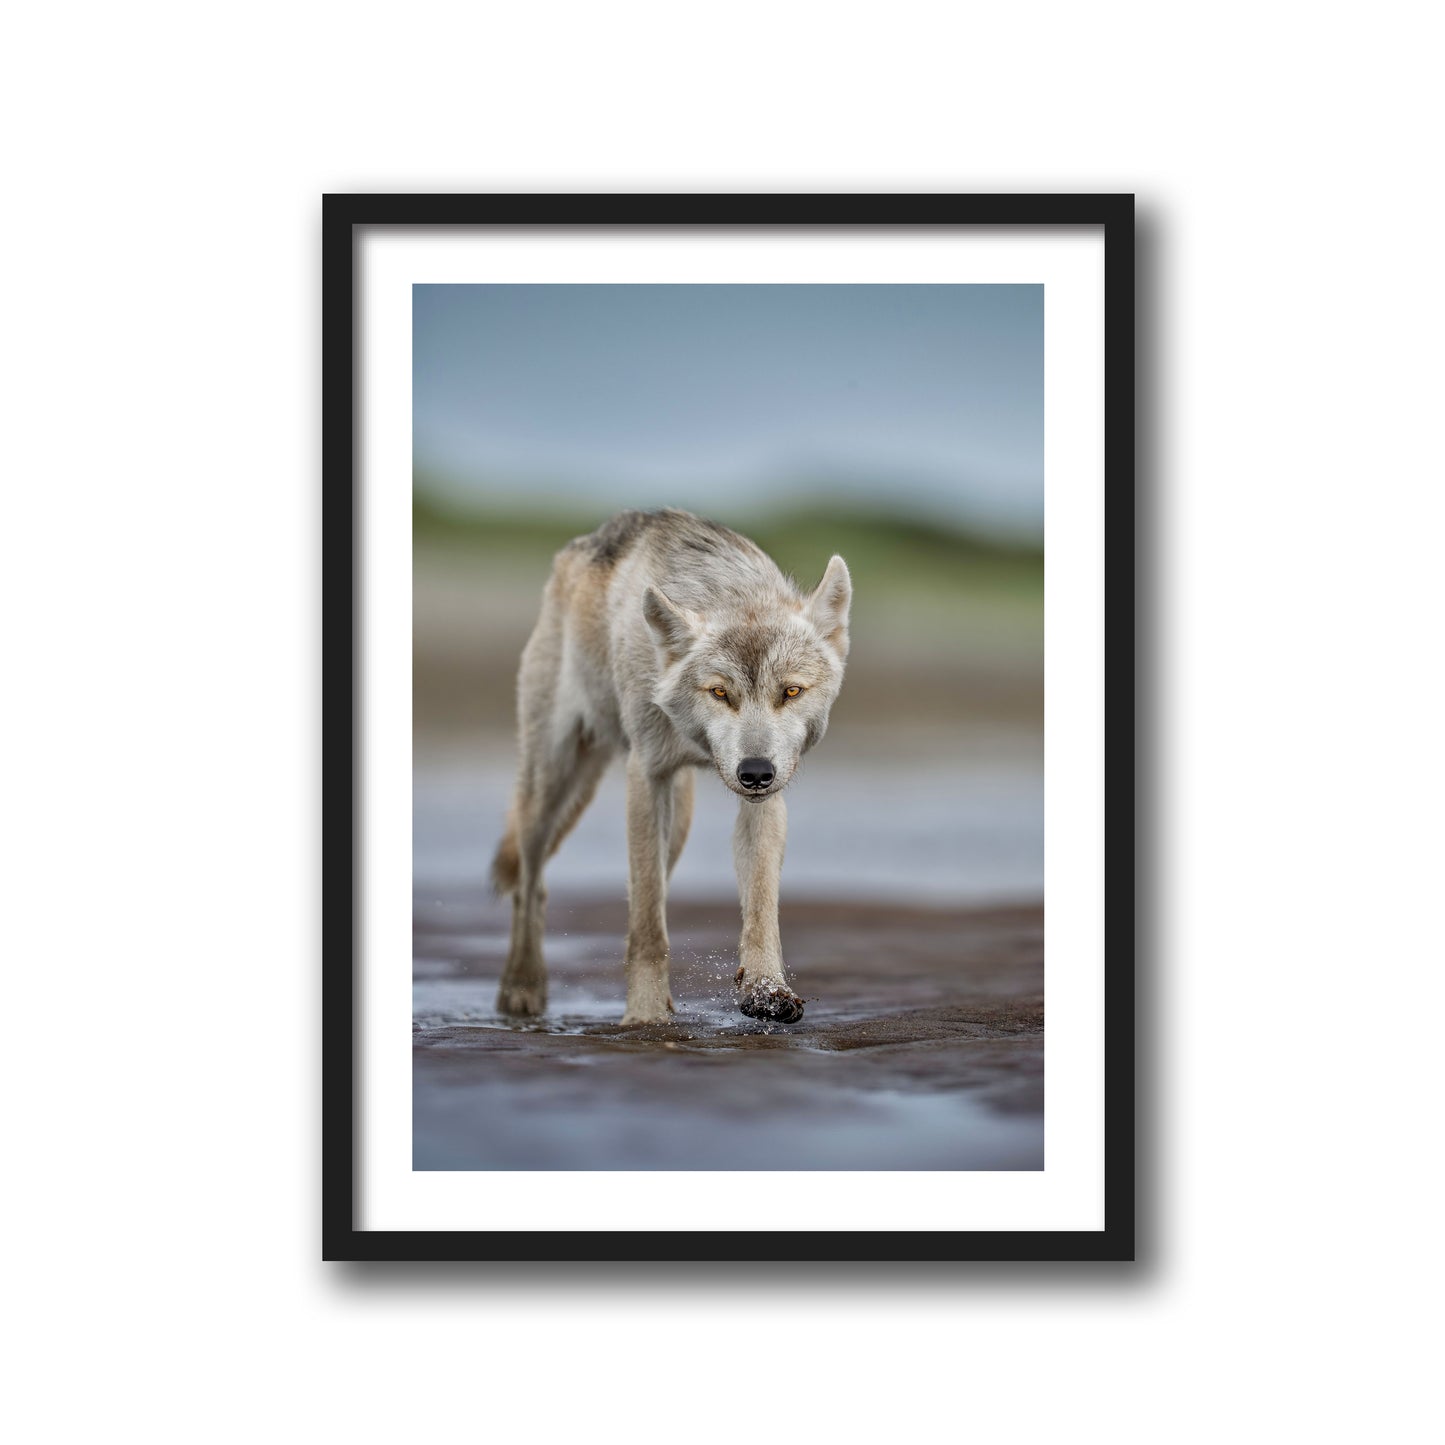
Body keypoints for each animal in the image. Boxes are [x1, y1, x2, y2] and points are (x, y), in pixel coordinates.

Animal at [491, 508, 852, 1026]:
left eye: (791, 691)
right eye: (719, 692)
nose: (754, 772)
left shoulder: (765, 799)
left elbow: (760, 906)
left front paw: (765, 991)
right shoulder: (645, 776)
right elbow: (646, 928)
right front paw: (644, 1019)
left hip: (677, 819)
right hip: (550, 787)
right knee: (530, 884)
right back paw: (522, 989)